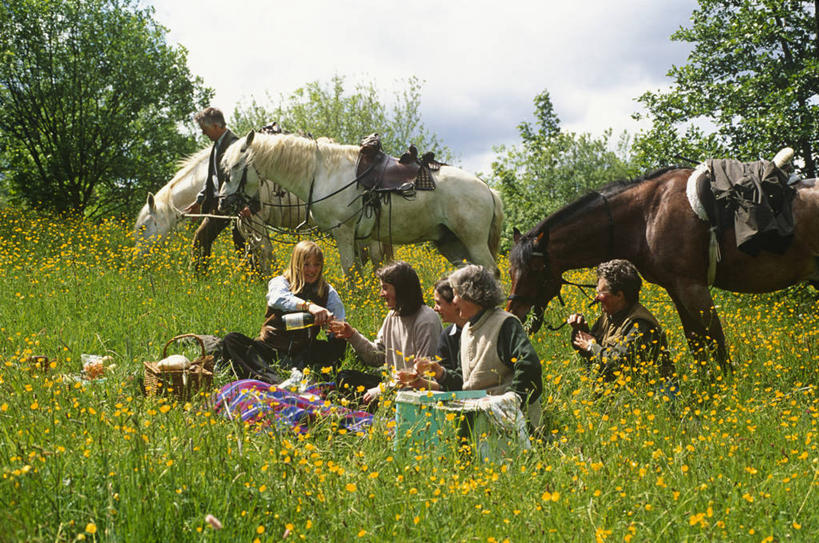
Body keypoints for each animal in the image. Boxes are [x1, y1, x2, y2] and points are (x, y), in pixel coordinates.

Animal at [224, 131, 506, 276]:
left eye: (237, 166)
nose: (225, 201)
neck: (322, 171)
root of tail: (488, 189)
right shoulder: (359, 237)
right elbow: (359, 272)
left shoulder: (343, 232)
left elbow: (349, 271)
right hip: (450, 243)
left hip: (473, 241)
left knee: (492, 272)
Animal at [506, 167, 819, 370]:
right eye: (510, 271)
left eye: (536, 269)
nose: (514, 313)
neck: (647, 214)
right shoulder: (678, 290)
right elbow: (698, 344)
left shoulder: (693, 288)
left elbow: (716, 344)